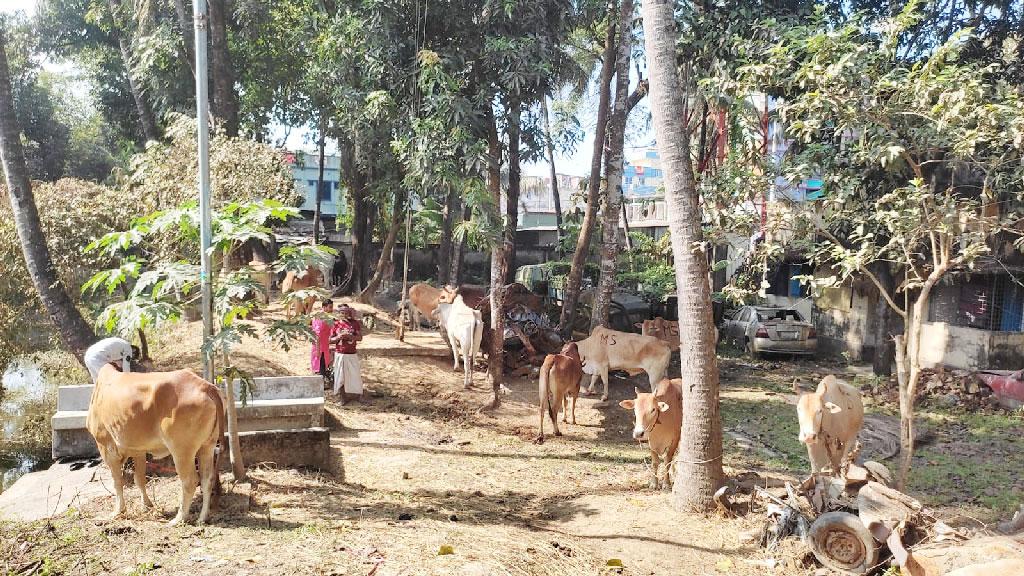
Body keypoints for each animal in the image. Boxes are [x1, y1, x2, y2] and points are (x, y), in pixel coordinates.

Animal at [88, 362, 226, 524]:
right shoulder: (138, 451)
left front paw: (118, 511)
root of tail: (205, 386)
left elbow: (118, 481)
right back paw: (202, 518)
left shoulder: (105, 446)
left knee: (190, 481)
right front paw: (147, 505)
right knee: (207, 479)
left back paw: (179, 518)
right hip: (207, 446)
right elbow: (139, 479)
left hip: (181, 451)